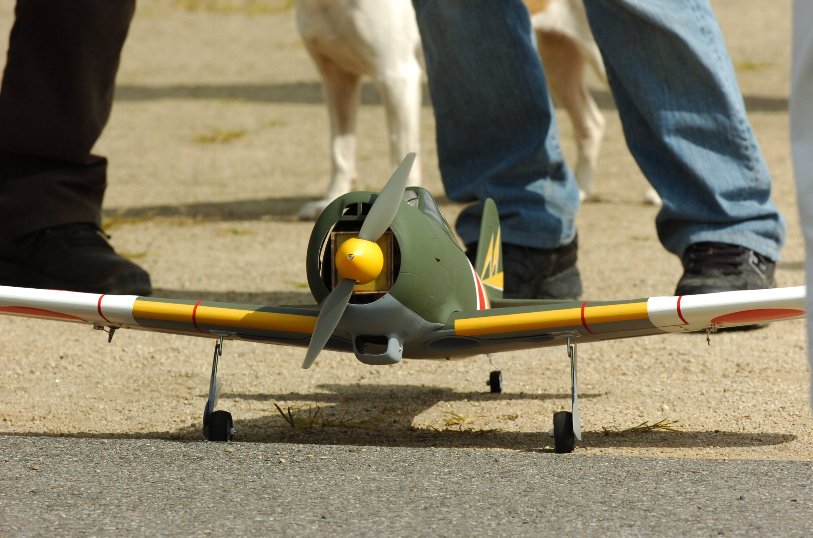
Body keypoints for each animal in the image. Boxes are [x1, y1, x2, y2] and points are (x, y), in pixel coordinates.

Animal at [294, 0, 655, 220]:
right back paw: (579, 190)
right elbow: (340, 151)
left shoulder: (397, 76)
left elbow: (399, 152)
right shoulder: (336, 78)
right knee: (591, 122)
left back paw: (653, 193)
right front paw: (330, 199)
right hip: (557, 59)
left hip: (607, 60)